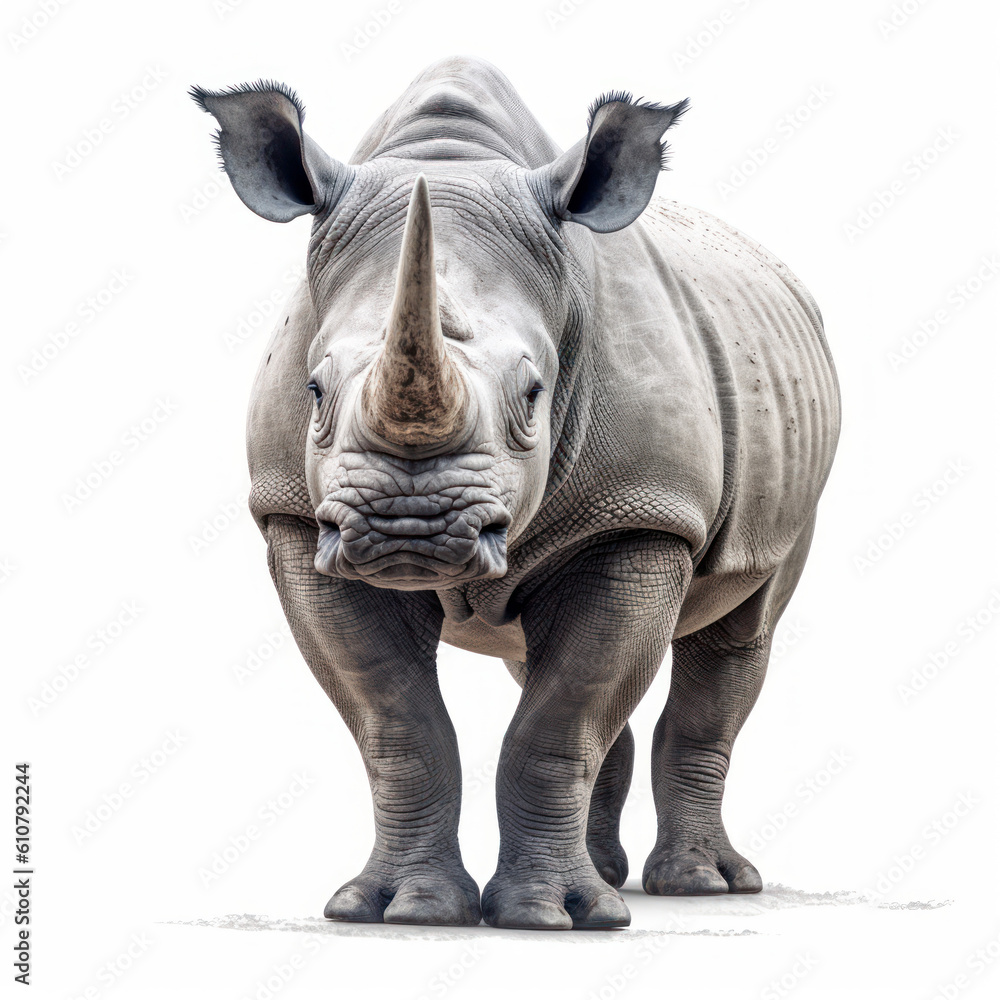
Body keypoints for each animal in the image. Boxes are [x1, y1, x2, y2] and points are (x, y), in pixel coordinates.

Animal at [192, 56, 839, 930]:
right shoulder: (294, 515)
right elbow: (397, 722)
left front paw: (551, 917)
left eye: (534, 396)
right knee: (532, 657)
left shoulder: (640, 518)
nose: (407, 530)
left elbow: (561, 721)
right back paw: (613, 872)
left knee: (739, 635)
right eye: (315, 391)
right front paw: (396, 910)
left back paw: (701, 884)